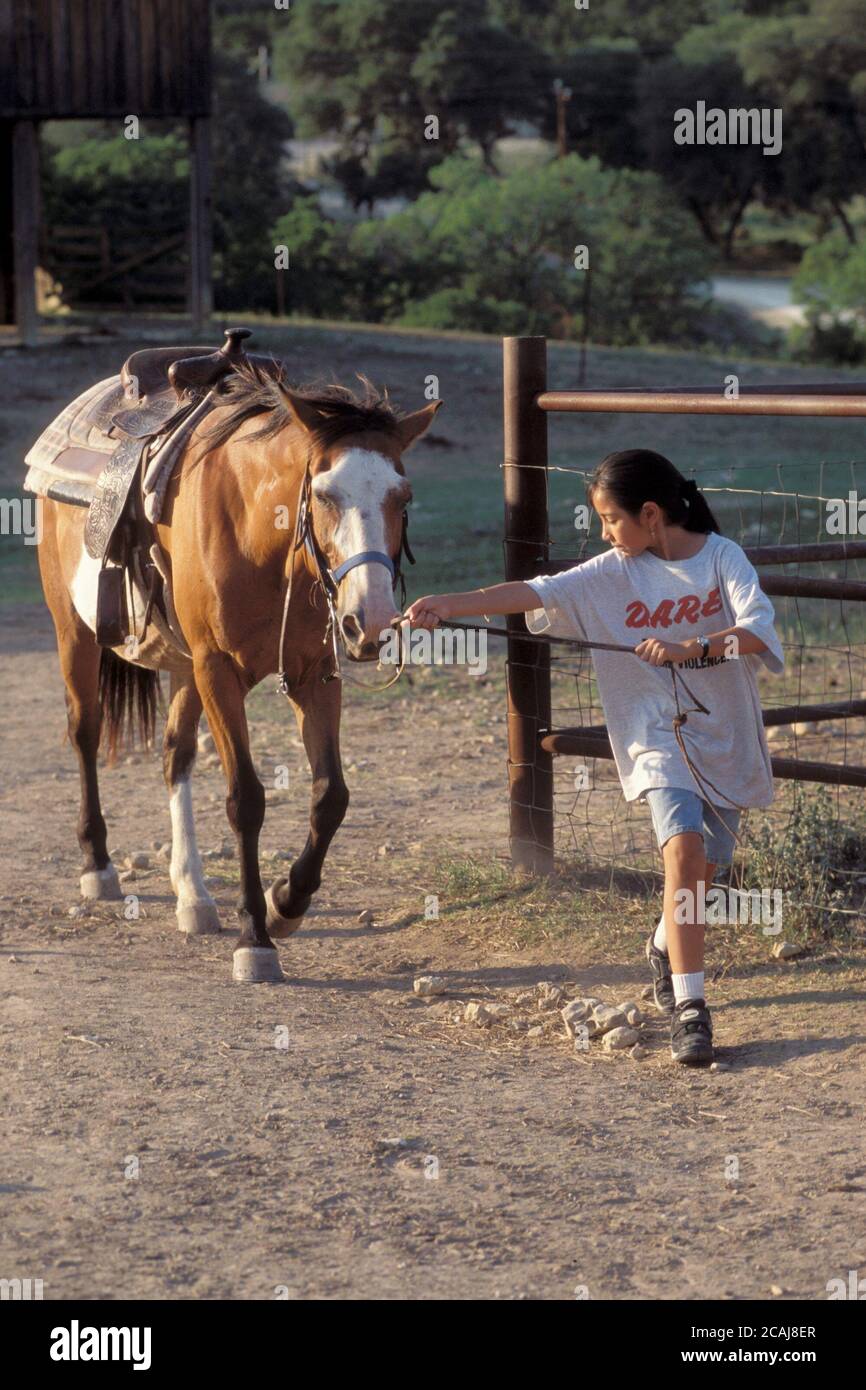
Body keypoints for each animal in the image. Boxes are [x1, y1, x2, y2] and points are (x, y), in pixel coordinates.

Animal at [35, 364, 439, 984]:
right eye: (325, 494)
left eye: (403, 496)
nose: (368, 620)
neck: (262, 534)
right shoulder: (219, 671)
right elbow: (245, 799)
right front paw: (255, 937)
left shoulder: (313, 673)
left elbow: (331, 795)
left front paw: (286, 904)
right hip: (74, 634)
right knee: (85, 733)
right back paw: (99, 866)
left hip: (183, 669)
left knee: (174, 754)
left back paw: (193, 894)